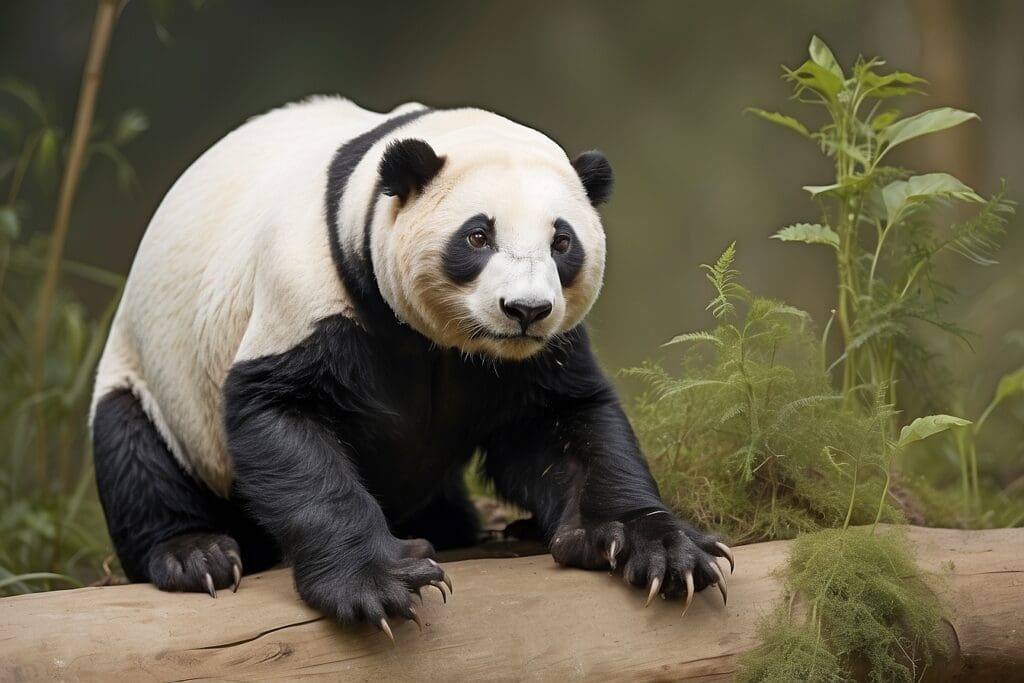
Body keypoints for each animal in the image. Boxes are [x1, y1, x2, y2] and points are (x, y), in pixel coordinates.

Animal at [91, 97, 733, 636]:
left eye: (562, 242)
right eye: (478, 236)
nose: (526, 311)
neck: (443, 342)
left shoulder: (538, 355)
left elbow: (569, 424)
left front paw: (661, 549)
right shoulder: (309, 286)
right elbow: (284, 414)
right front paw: (376, 584)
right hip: (149, 372)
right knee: (134, 452)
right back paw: (196, 553)